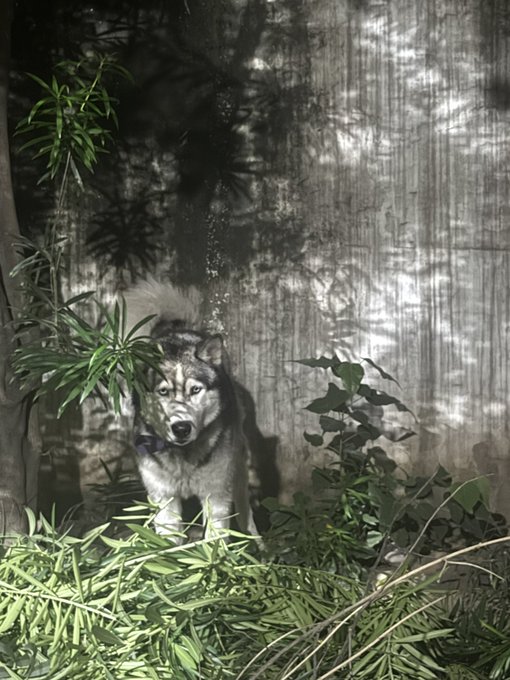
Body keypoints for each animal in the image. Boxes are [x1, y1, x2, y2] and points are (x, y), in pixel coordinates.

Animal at [124, 278, 258, 540]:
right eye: (163, 392)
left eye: (195, 390)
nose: (181, 428)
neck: (183, 456)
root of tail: (178, 331)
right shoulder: (163, 499)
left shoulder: (216, 497)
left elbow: (215, 541)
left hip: (237, 468)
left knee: (245, 507)